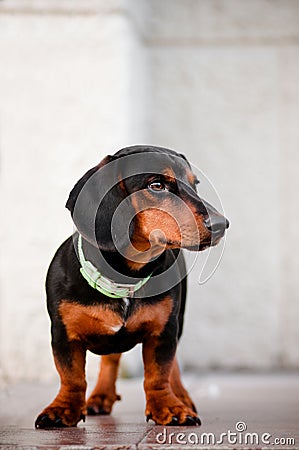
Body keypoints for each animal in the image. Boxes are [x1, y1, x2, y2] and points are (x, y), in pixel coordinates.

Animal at [35, 145, 230, 428]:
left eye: (195, 184)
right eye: (157, 185)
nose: (221, 225)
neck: (125, 279)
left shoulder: (164, 332)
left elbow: (159, 374)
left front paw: (169, 407)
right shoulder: (63, 334)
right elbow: (72, 377)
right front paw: (62, 409)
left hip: (179, 319)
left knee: (173, 366)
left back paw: (181, 396)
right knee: (110, 360)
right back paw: (101, 396)